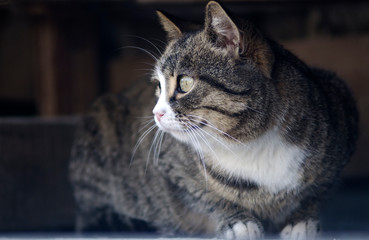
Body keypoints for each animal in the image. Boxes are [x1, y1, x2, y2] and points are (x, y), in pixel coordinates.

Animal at [69, 0, 356, 239]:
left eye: (184, 83)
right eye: (158, 86)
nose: (156, 113)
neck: (248, 142)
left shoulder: (341, 109)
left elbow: (318, 190)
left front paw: (301, 221)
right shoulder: (169, 166)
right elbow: (205, 196)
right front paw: (239, 223)